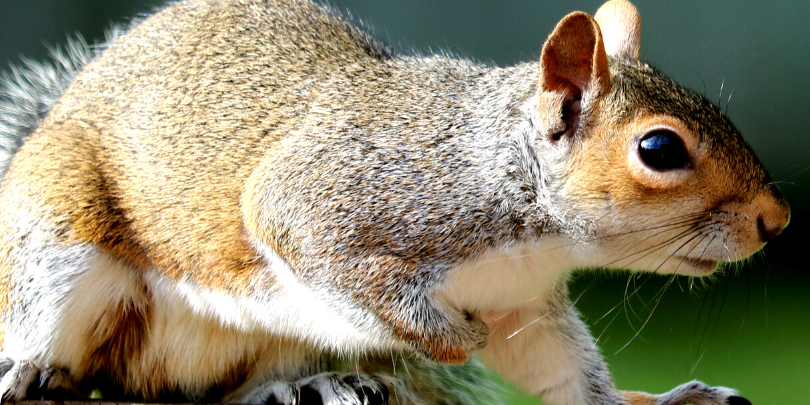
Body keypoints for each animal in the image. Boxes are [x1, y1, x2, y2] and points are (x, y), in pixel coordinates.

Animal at [0, 0, 789, 404]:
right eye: (659, 149)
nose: (775, 221)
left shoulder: (523, 307)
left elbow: (560, 372)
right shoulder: (335, 198)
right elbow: (318, 249)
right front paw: (450, 336)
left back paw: (311, 384)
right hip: (55, 236)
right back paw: (29, 368)